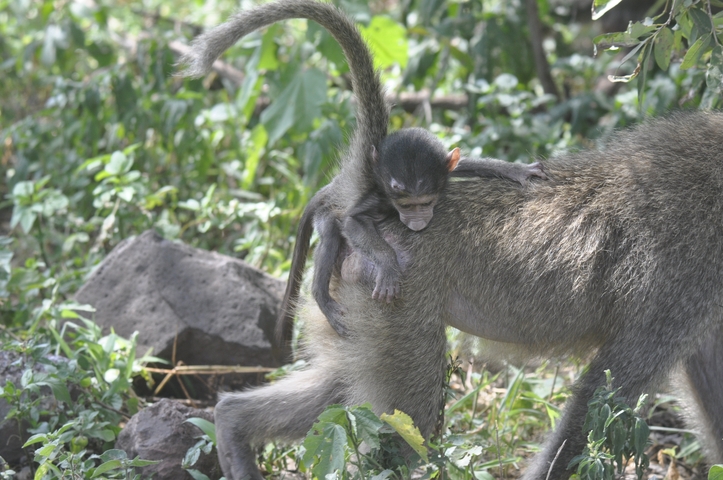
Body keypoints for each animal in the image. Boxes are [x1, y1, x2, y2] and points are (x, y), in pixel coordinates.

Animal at [179, 0, 547, 340]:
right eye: (406, 204)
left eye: (426, 202)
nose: (417, 221)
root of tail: (334, 186)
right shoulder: (379, 195)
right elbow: (353, 222)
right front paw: (388, 266)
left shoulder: (438, 172)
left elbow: (465, 163)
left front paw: (518, 171)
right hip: (326, 212)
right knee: (331, 231)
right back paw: (321, 295)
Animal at [209, 110, 723, 480]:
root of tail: (349, 218)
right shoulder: (683, 282)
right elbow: (604, 396)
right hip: (395, 295)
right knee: (408, 421)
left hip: (352, 306)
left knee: (339, 390)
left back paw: (233, 427)